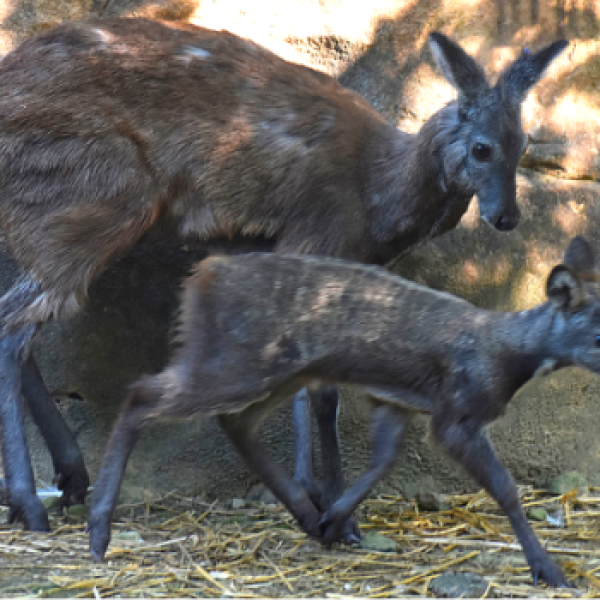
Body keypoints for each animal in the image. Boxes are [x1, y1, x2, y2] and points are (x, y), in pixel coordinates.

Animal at [0, 18, 568, 532]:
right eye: (481, 148)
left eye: (524, 145)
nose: (507, 217)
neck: (377, 192)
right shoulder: (316, 239)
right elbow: (322, 392)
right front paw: (332, 509)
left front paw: (312, 495)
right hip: (90, 200)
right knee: (14, 327)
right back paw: (32, 505)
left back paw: (68, 482)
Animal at [90, 237, 600, 588]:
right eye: (596, 333)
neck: (506, 355)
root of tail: (201, 276)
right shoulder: (456, 413)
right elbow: (505, 488)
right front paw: (550, 570)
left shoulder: (398, 400)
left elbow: (383, 460)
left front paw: (334, 521)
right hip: (238, 359)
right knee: (142, 395)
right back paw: (98, 533)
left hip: (280, 370)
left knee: (235, 421)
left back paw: (303, 513)